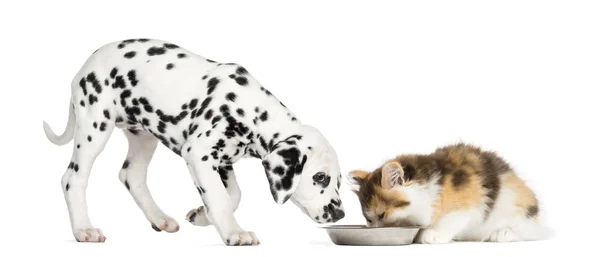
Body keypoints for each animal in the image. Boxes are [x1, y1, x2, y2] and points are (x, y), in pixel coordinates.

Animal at [42, 38, 344, 244]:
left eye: (339, 181)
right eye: (320, 177)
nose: (340, 214)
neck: (250, 108)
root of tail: (86, 65)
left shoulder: (222, 161)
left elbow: (232, 196)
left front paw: (202, 215)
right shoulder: (198, 154)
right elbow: (221, 199)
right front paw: (235, 233)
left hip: (144, 137)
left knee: (131, 175)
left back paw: (160, 219)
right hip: (94, 128)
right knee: (73, 179)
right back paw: (84, 229)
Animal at [350, 143, 548, 243]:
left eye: (382, 214)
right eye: (369, 220)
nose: (374, 228)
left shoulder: (468, 202)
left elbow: (451, 219)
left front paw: (432, 234)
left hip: (515, 208)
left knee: (533, 231)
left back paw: (502, 234)